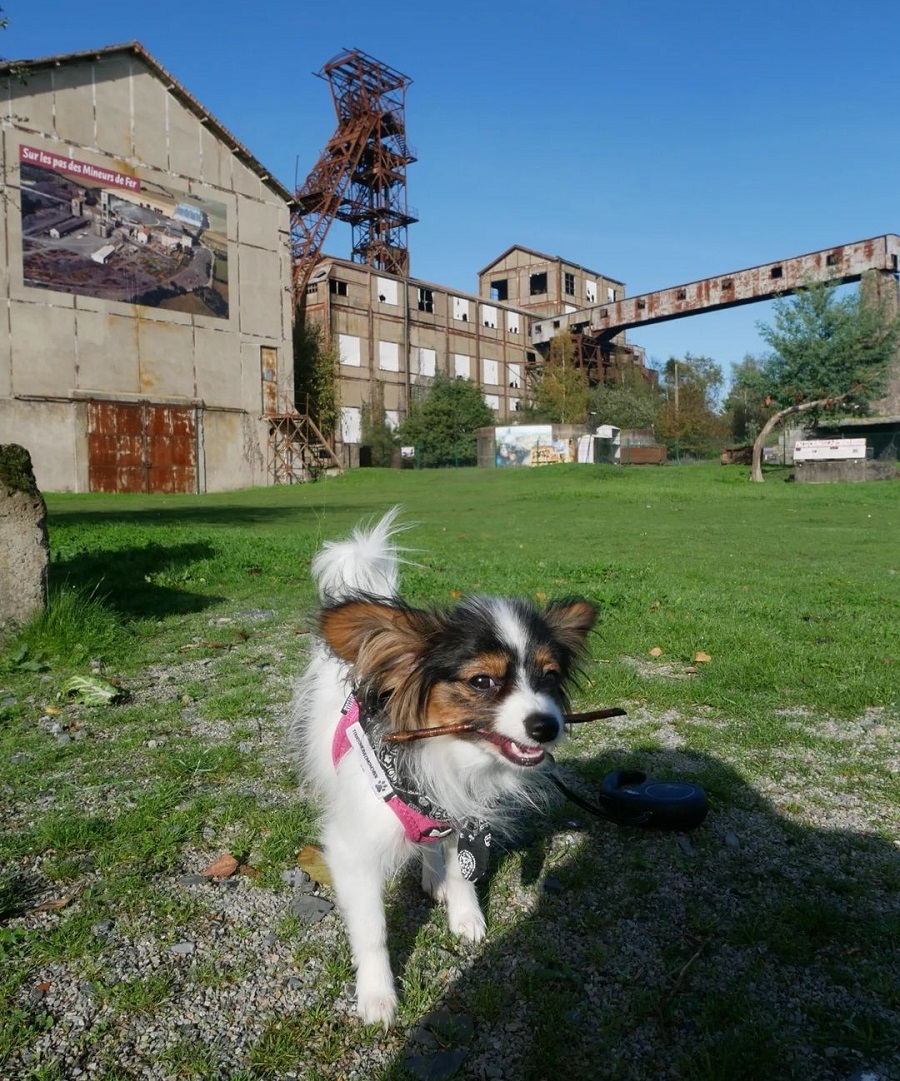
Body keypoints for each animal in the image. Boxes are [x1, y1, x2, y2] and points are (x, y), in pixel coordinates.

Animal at [289, 510, 596, 1024]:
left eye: (550, 676)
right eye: (482, 681)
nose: (546, 726)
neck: (448, 758)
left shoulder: (465, 816)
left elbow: (462, 870)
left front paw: (465, 914)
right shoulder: (354, 851)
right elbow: (372, 931)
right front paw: (377, 995)